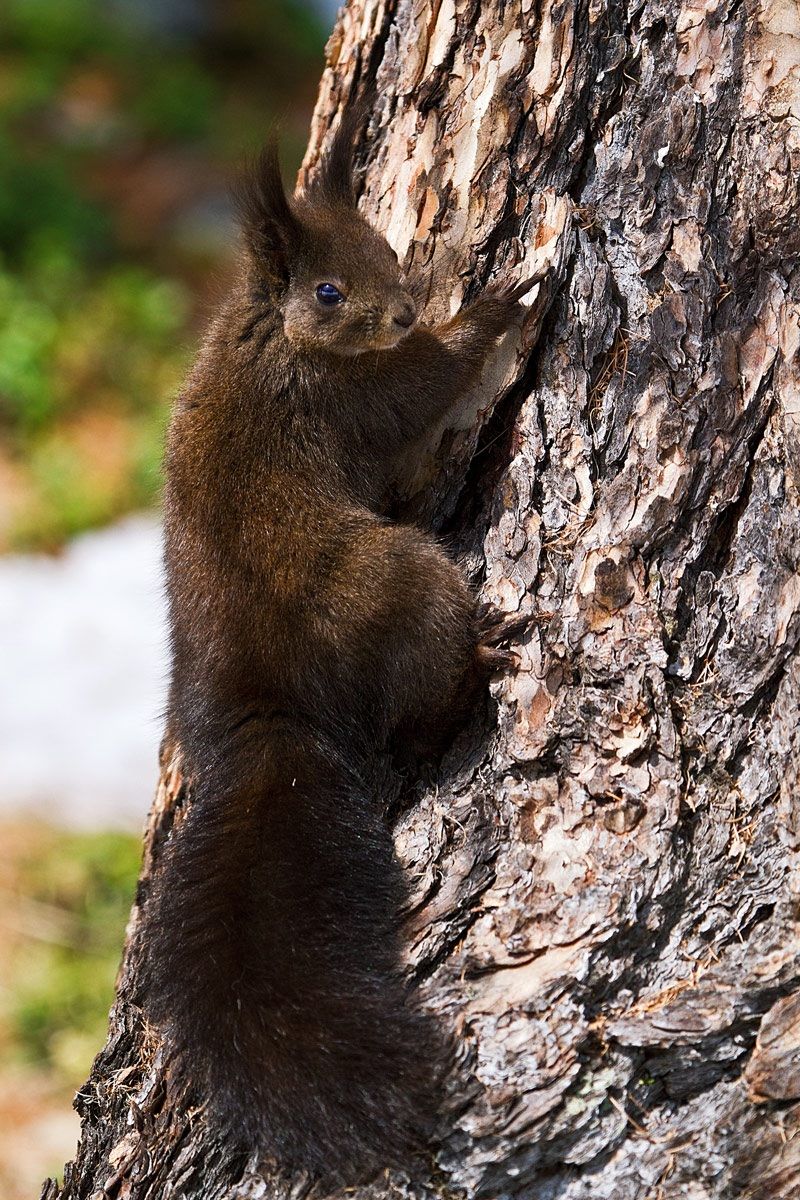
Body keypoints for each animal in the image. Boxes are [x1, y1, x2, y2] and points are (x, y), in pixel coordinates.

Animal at [141, 106, 536, 1187]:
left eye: (387, 252)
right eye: (327, 290)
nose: (402, 309)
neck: (267, 329)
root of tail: (276, 705)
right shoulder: (348, 397)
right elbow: (427, 385)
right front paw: (498, 305)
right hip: (399, 586)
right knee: (417, 717)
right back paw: (481, 658)